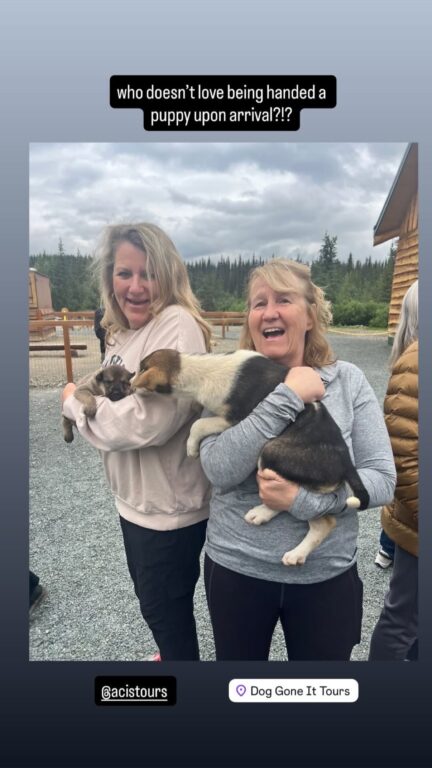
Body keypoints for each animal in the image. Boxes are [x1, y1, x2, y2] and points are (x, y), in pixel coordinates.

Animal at [131, 349, 370, 566]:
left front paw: (191, 448)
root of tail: (346, 461)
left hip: (270, 452)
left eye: (142, 368)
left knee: (321, 520)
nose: (130, 381)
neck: (199, 369)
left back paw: (277, 533)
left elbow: (198, 424)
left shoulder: (231, 419)